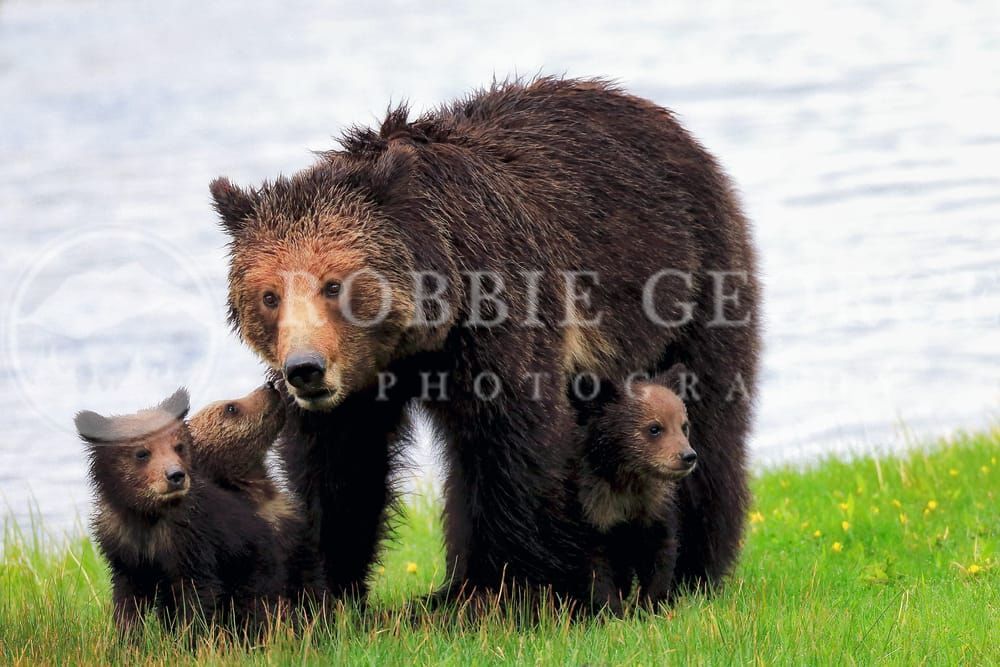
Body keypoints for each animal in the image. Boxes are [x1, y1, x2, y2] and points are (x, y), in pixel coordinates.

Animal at [77, 388, 288, 634]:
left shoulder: (194, 545)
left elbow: (196, 599)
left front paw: (189, 638)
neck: (147, 515)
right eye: (142, 453)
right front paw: (128, 638)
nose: (175, 475)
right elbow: (129, 602)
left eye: (177, 446)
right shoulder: (125, 550)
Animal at [571, 364, 697, 612]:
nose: (688, 456)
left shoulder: (655, 509)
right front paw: (612, 610)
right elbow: (596, 568)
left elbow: (661, 556)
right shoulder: (596, 509)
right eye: (655, 428)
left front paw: (649, 606)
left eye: (683, 426)